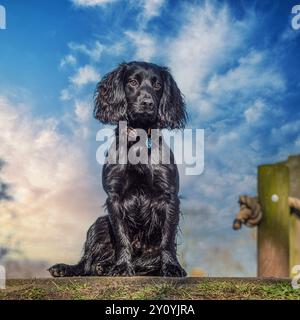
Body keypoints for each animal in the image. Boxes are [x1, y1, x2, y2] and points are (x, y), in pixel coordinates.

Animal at [49, 61, 188, 276]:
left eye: (157, 85)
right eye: (132, 82)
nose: (148, 103)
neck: (138, 141)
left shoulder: (169, 196)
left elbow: (167, 239)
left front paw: (172, 267)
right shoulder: (114, 197)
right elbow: (122, 237)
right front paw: (122, 266)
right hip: (100, 223)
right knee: (86, 263)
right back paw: (72, 268)